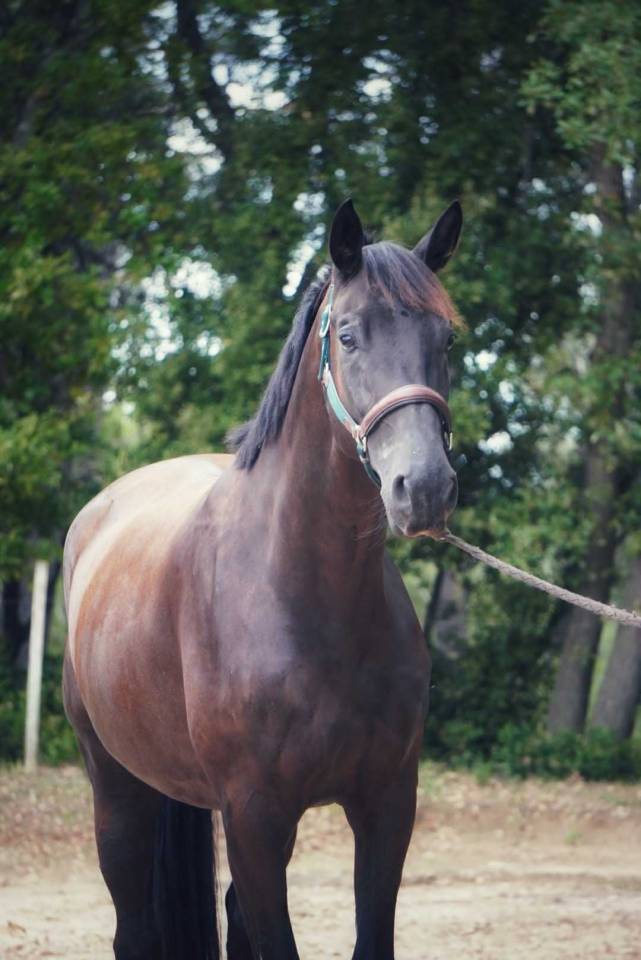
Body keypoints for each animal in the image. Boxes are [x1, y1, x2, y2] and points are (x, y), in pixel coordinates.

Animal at [62, 197, 463, 960]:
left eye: (446, 339)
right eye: (348, 335)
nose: (423, 487)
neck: (308, 595)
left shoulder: (386, 807)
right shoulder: (252, 814)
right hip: (117, 791)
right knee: (134, 928)